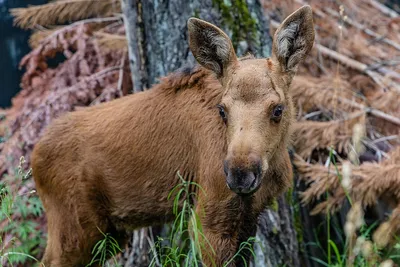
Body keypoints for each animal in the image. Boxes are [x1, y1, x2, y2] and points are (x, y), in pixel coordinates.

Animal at [31, 4, 314, 267]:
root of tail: (35, 154)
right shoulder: (208, 216)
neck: (271, 162)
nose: (240, 174)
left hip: (107, 233)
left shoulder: (248, 217)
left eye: (278, 109)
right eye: (222, 110)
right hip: (73, 228)